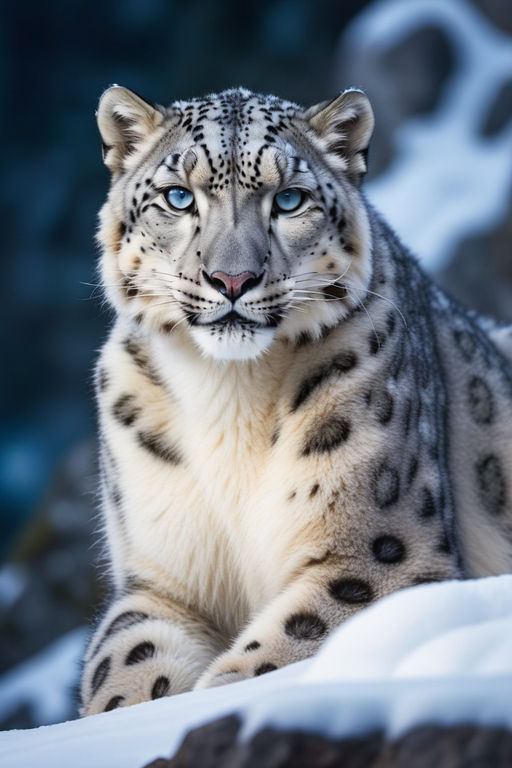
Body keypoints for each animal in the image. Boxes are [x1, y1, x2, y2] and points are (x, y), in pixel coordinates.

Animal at [80, 87, 512, 716]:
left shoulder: (381, 553)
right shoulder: (158, 582)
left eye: (288, 199)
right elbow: (123, 665)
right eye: (178, 196)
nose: (232, 280)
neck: (229, 396)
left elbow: (286, 646)